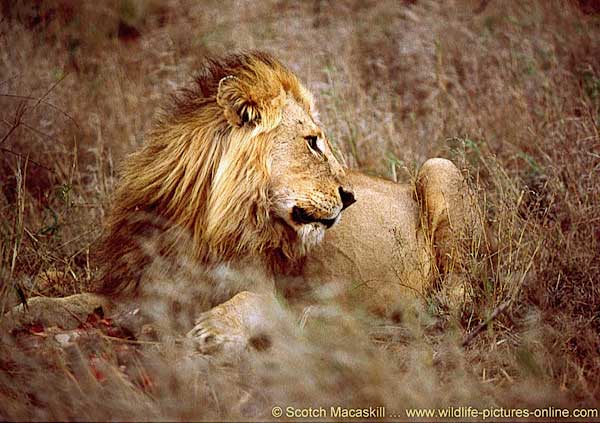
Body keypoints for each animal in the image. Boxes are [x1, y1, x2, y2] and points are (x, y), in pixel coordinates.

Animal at [2, 51, 486, 352]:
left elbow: (249, 301)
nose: (350, 196)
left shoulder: (271, 290)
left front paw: (214, 332)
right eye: (312, 142)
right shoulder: (137, 289)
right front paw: (17, 314)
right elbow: (62, 303)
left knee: (457, 297)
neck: (204, 222)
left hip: (439, 168)